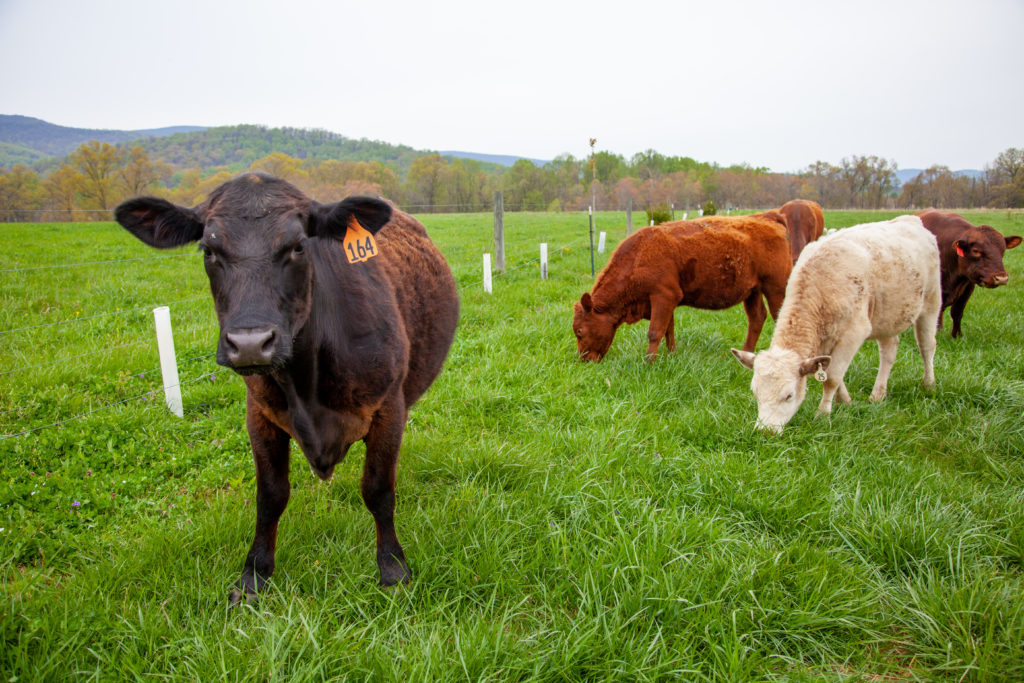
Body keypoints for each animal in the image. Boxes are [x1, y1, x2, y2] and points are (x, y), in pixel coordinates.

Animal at [115, 172, 460, 602]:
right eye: (208, 250)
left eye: (298, 246)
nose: (249, 342)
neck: (307, 384)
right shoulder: (259, 415)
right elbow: (270, 495)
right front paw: (253, 575)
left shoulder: (388, 408)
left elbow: (379, 490)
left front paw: (393, 569)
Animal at [573, 211, 786, 362]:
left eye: (580, 331)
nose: (583, 360)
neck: (638, 256)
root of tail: (766, 217)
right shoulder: (665, 301)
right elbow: (669, 329)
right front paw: (672, 355)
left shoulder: (664, 296)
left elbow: (655, 331)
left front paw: (648, 362)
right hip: (753, 291)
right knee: (757, 318)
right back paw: (745, 354)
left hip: (776, 288)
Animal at [733, 215, 937, 432]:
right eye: (755, 392)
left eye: (789, 395)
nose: (765, 431)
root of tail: (910, 219)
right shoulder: (823, 339)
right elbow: (832, 372)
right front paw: (844, 401)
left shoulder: (853, 334)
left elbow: (832, 377)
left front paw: (823, 414)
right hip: (887, 318)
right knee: (888, 352)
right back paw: (878, 394)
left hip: (931, 301)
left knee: (927, 346)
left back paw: (929, 384)